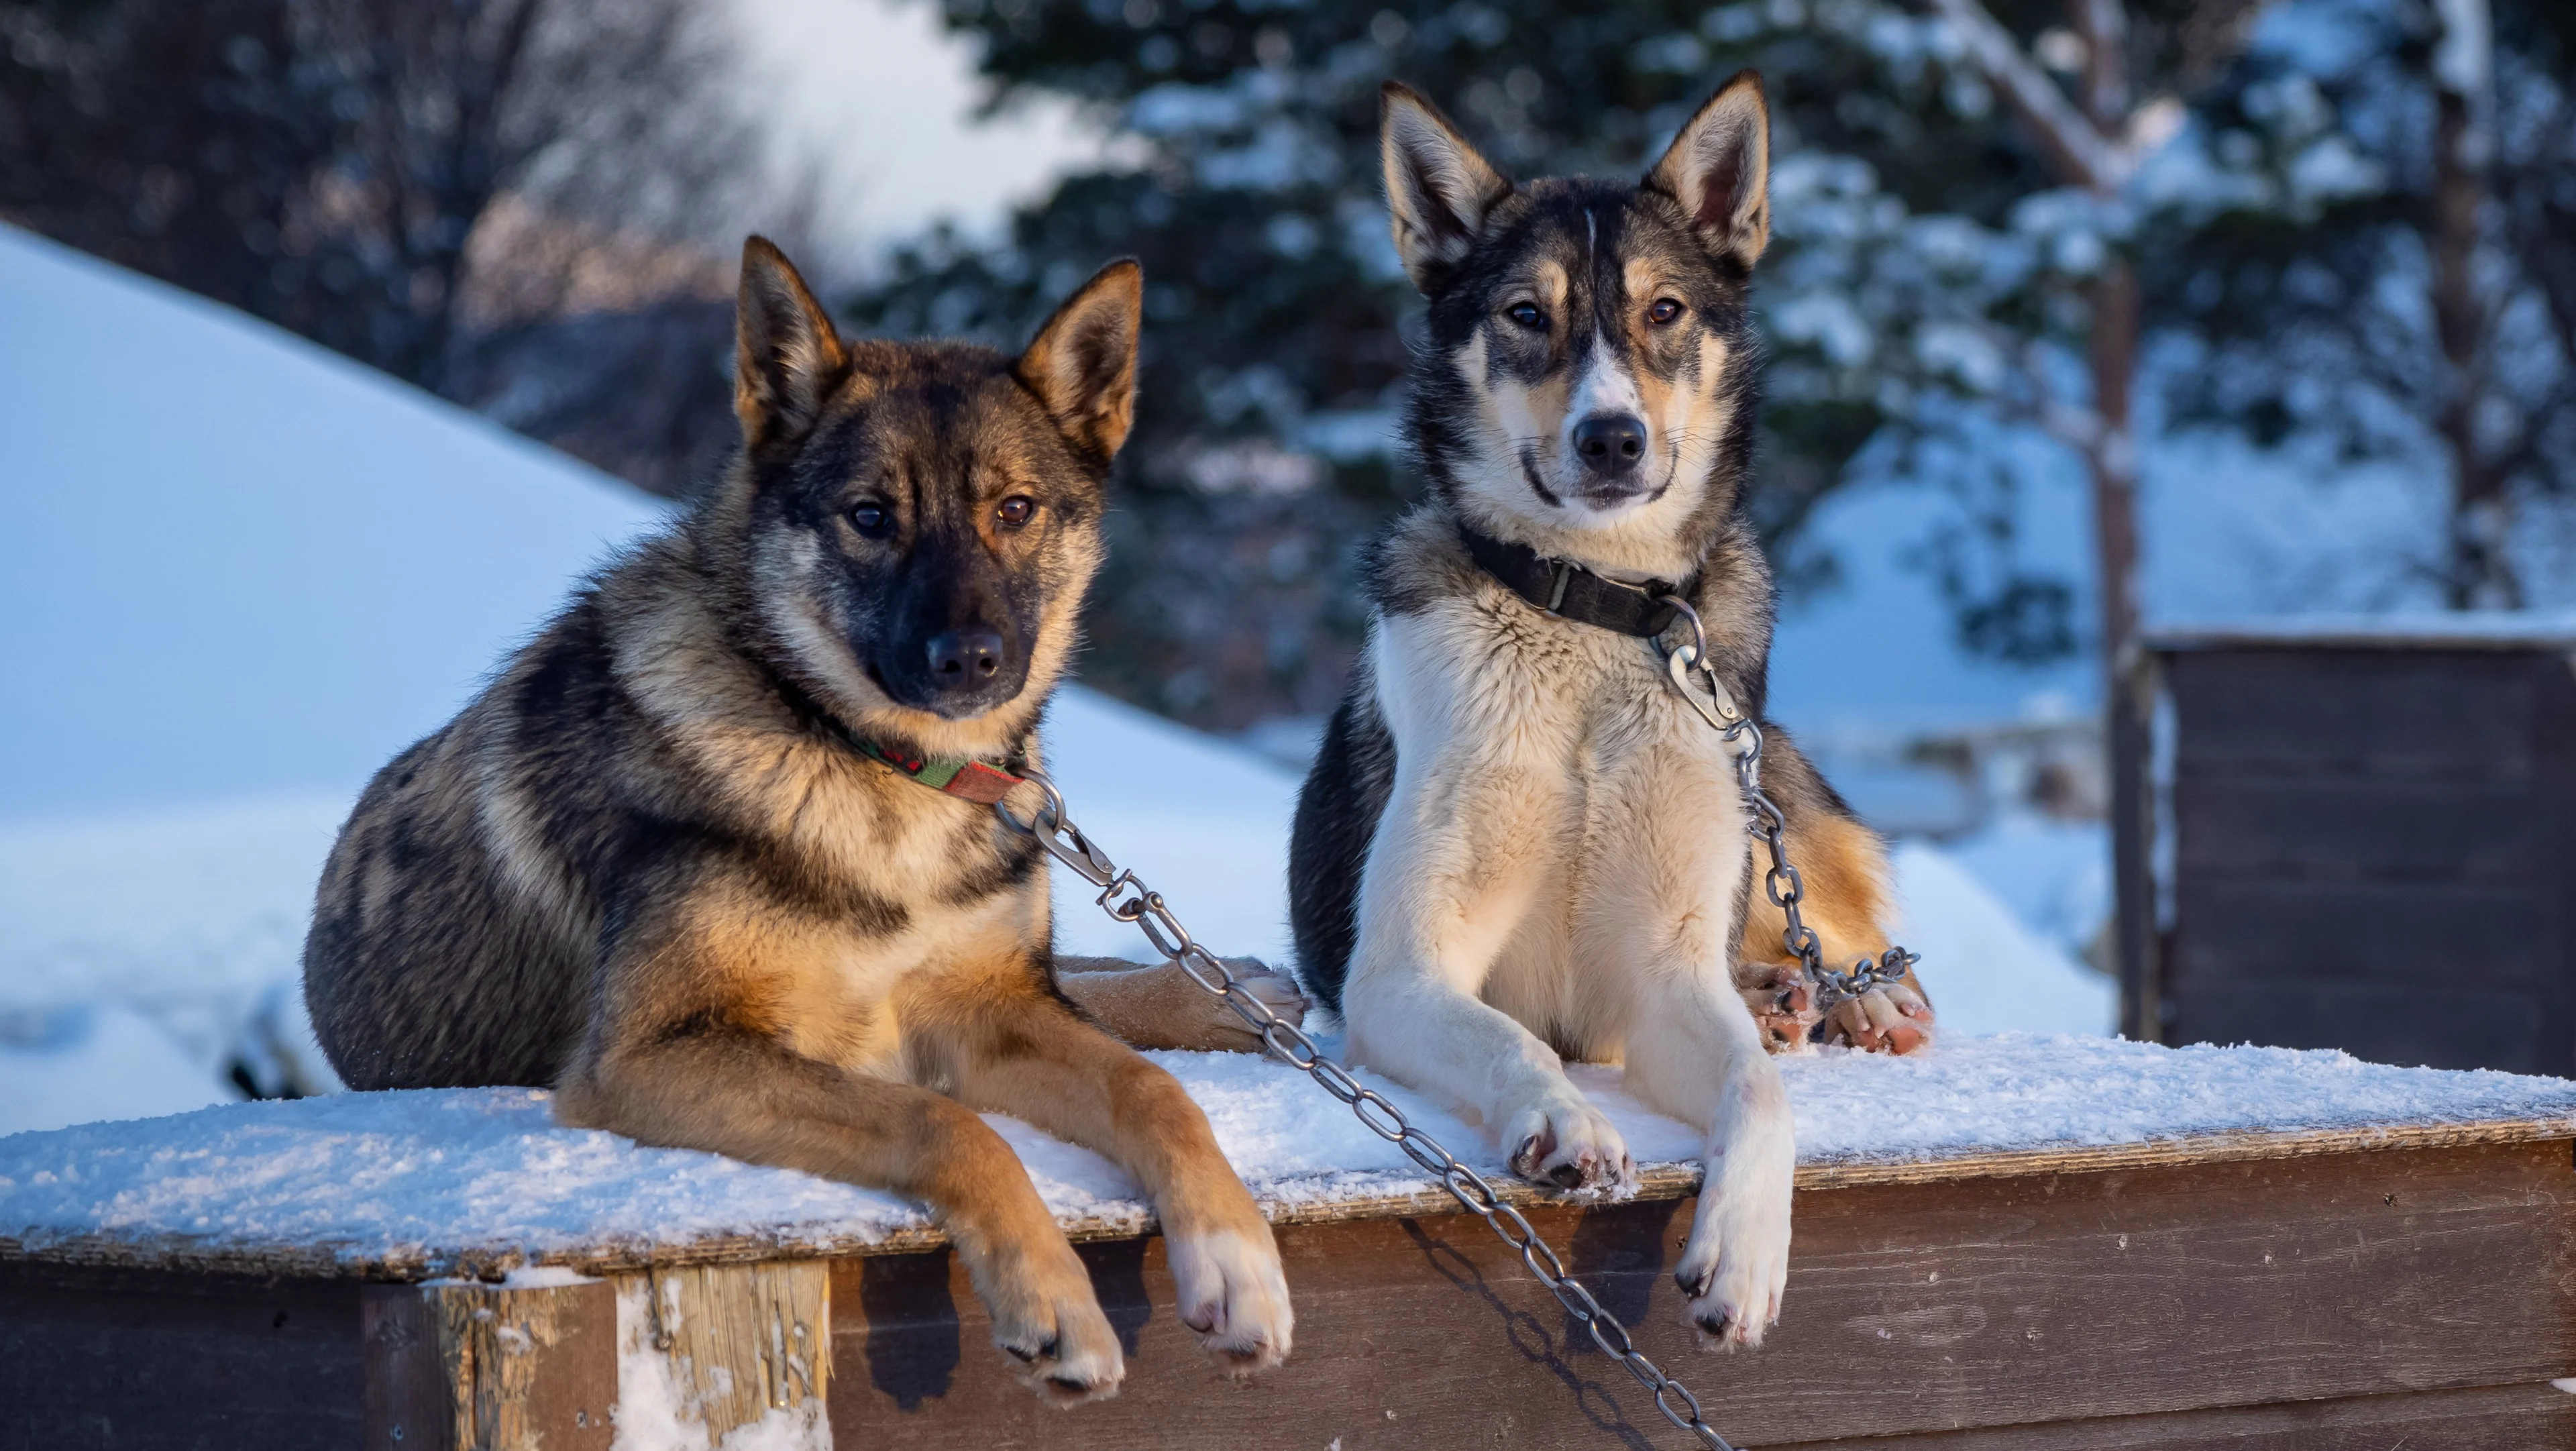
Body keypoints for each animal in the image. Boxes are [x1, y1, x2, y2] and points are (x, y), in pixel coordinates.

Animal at [304, 238, 1298, 1412]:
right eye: (870, 516)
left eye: (1014, 510)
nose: (971, 659)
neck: (869, 760)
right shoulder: (651, 1056)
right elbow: (946, 1120)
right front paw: (1056, 1305)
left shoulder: (983, 1009)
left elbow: (1150, 1087)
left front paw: (1236, 1263)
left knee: (1093, 987)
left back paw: (1229, 998)